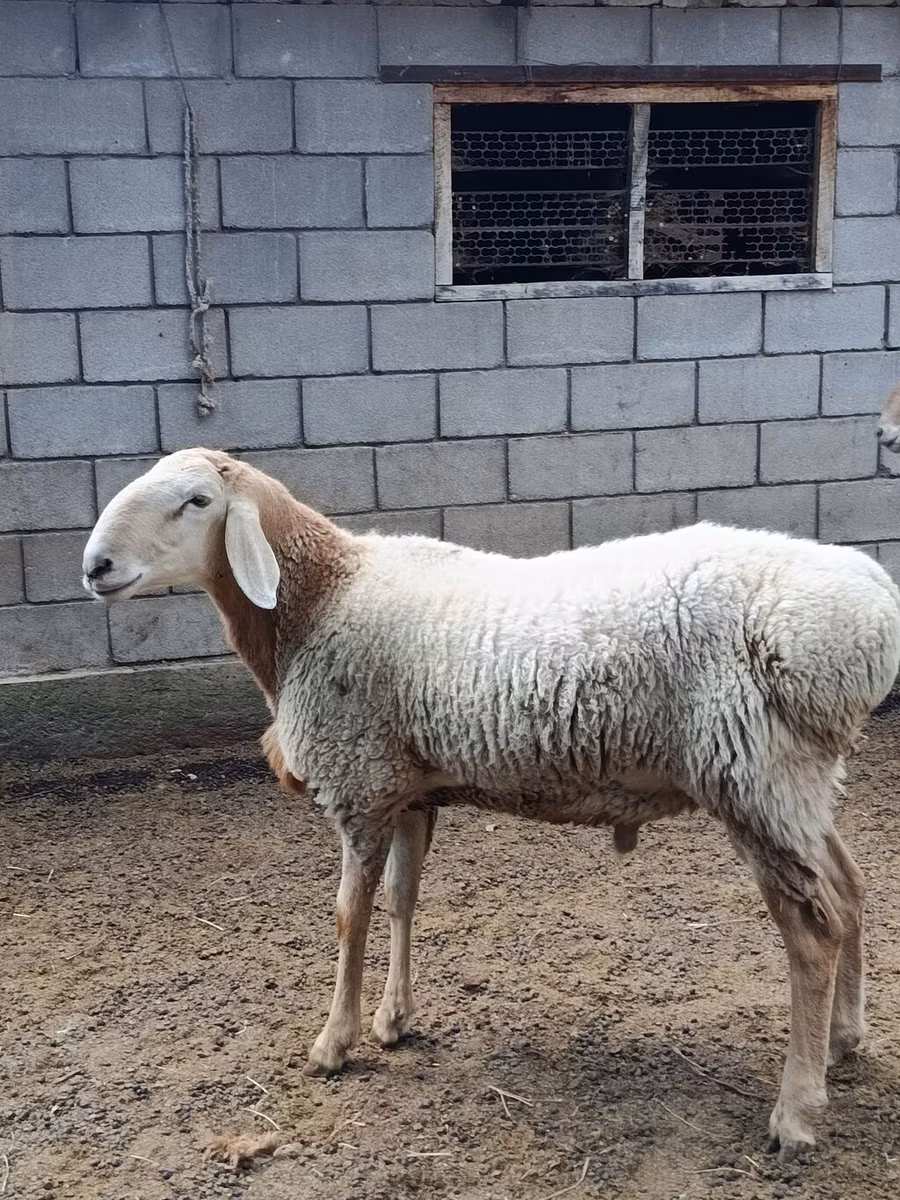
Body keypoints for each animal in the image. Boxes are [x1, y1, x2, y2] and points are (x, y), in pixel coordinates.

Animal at [82, 447, 900, 1161]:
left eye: (197, 501)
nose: (96, 567)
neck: (320, 599)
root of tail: (874, 608)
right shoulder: (409, 790)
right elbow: (403, 900)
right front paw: (393, 1019)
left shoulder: (359, 783)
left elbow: (349, 915)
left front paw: (333, 1043)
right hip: (796, 782)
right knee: (851, 890)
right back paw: (843, 1038)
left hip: (755, 775)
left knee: (813, 932)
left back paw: (795, 1110)